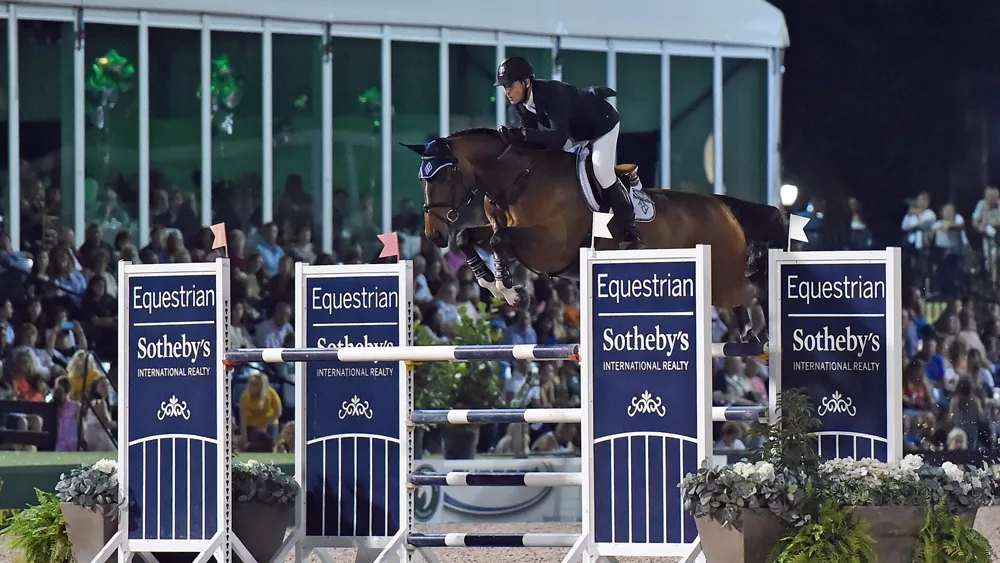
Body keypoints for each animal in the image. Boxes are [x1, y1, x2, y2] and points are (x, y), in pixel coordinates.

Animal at [398, 125, 788, 342]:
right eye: (421, 179)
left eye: (443, 176)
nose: (433, 235)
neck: (518, 180)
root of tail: (723, 206)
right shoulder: (502, 228)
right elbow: (470, 238)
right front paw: (499, 288)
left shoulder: (548, 247)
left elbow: (497, 242)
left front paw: (512, 292)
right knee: (742, 299)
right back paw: (750, 331)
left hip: (725, 276)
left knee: (753, 288)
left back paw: (763, 329)